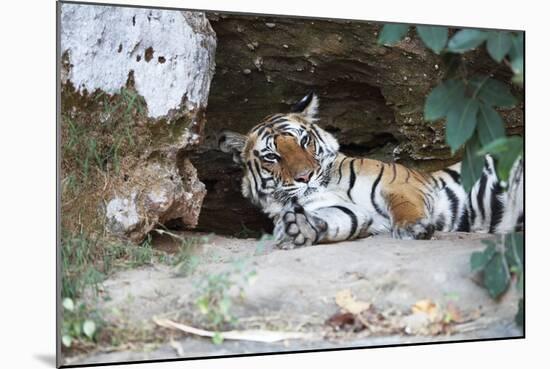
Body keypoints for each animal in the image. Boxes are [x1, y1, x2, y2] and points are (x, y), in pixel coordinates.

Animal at [218, 92, 524, 249]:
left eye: (304, 141)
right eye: (272, 156)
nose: (305, 177)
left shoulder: (402, 183)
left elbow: (404, 205)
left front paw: (412, 228)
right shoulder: (347, 212)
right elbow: (333, 218)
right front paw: (299, 229)